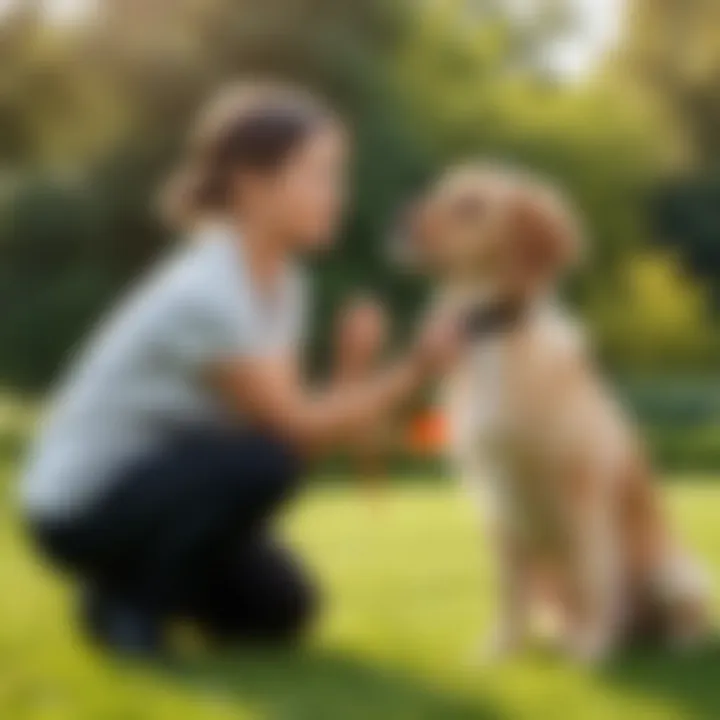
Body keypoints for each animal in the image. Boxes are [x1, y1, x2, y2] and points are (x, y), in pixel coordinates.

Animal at [402, 163, 712, 664]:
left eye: (472, 205)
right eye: (439, 191)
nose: (400, 219)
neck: (494, 332)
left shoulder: (580, 492)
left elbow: (592, 574)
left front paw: (591, 651)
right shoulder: (496, 498)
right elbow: (509, 592)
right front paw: (499, 652)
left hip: (676, 571)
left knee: (676, 617)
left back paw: (668, 643)